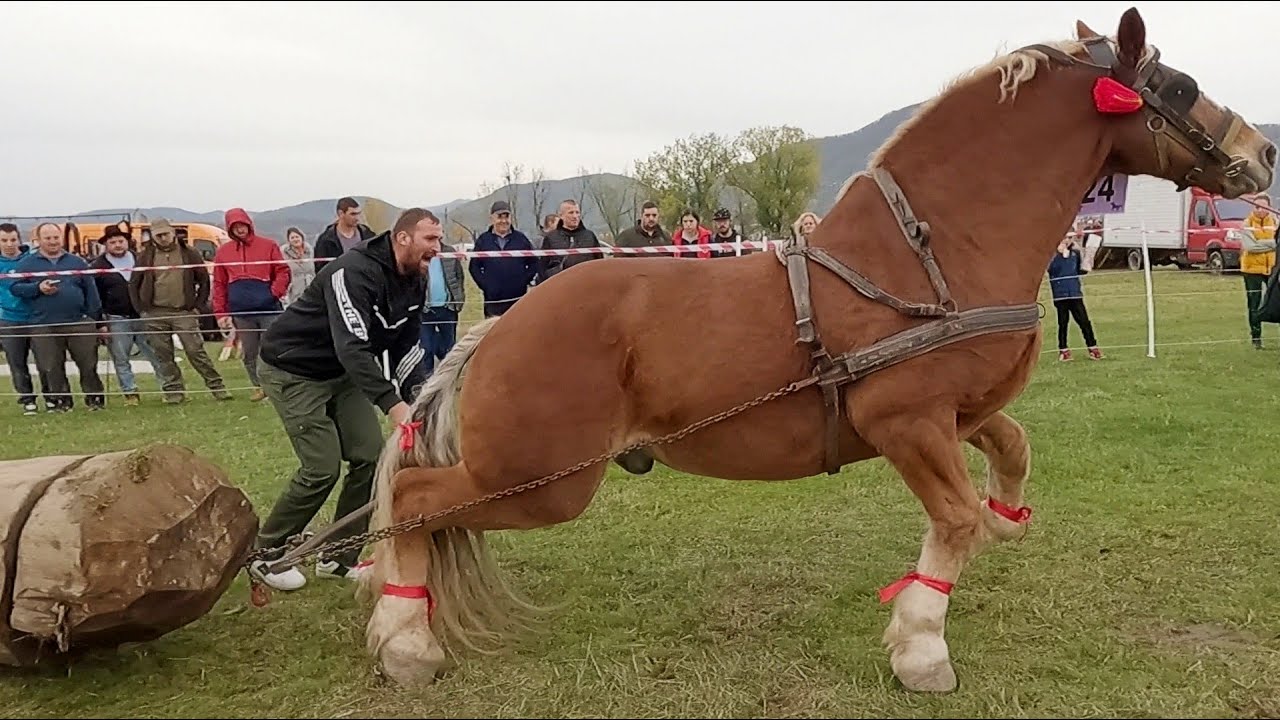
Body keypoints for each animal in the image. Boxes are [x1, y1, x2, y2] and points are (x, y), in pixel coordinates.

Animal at [360, 7, 1277, 694]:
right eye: (1179, 85)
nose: (1262, 151)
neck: (926, 257)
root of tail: (500, 326)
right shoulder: (905, 420)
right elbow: (952, 522)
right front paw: (921, 646)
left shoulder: (956, 413)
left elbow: (1011, 453)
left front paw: (1007, 516)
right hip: (539, 479)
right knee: (411, 497)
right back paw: (405, 638)